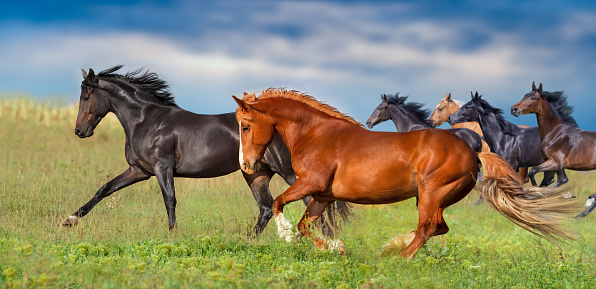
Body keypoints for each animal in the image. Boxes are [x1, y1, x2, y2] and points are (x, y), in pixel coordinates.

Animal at [60, 66, 350, 236]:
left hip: (288, 173)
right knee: (267, 207)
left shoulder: (162, 168)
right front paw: (70, 220)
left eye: (86, 96)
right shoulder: (138, 170)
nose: (79, 131)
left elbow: (170, 199)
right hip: (256, 174)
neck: (146, 120)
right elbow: (104, 189)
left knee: (311, 205)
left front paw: (173, 235)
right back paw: (249, 240)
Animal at [232, 87, 572, 256]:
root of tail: (472, 152)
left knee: (426, 230)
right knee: (437, 227)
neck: (315, 134)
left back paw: (399, 257)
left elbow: (279, 203)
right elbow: (306, 225)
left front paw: (286, 236)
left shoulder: (310, 183)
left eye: (245, 126)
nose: (246, 165)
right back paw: (392, 246)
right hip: (436, 197)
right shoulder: (323, 194)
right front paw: (335, 248)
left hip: (431, 194)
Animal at [512, 81, 596, 216]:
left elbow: (535, 173)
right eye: (524, 95)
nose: (514, 109)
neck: (555, 134)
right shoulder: (553, 165)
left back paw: (582, 212)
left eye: (533, 98)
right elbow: (549, 182)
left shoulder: (555, 162)